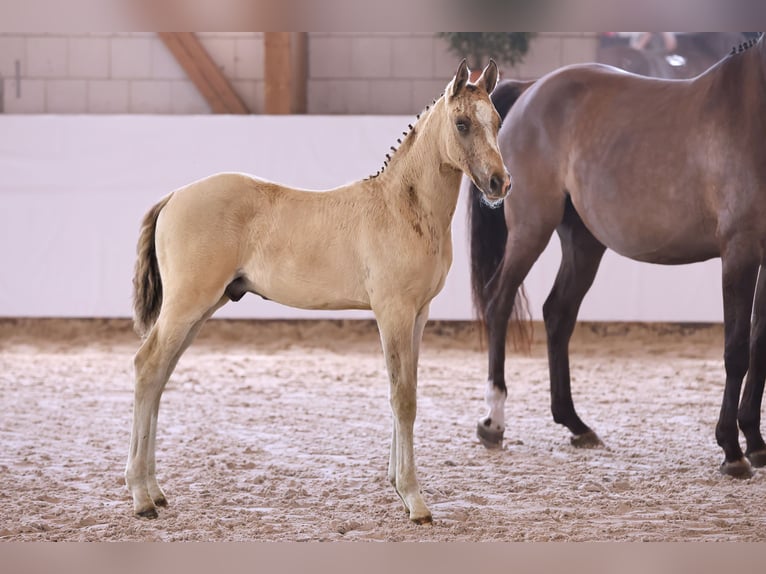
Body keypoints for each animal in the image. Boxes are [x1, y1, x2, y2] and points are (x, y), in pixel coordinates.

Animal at [124, 59, 510, 525]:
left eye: (497, 121)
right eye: (461, 123)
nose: (500, 183)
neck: (403, 208)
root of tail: (175, 195)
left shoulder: (419, 314)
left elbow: (408, 391)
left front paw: (396, 485)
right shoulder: (393, 312)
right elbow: (403, 398)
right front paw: (414, 500)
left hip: (200, 310)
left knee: (160, 375)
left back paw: (155, 490)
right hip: (186, 305)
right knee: (147, 367)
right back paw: (141, 496)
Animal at [468, 34, 766, 479]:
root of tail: (530, 89)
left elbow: (759, 345)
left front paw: (757, 443)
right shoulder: (740, 250)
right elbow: (736, 349)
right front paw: (732, 449)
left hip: (584, 242)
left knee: (558, 314)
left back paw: (576, 424)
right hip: (530, 229)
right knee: (499, 303)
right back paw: (494, 422)